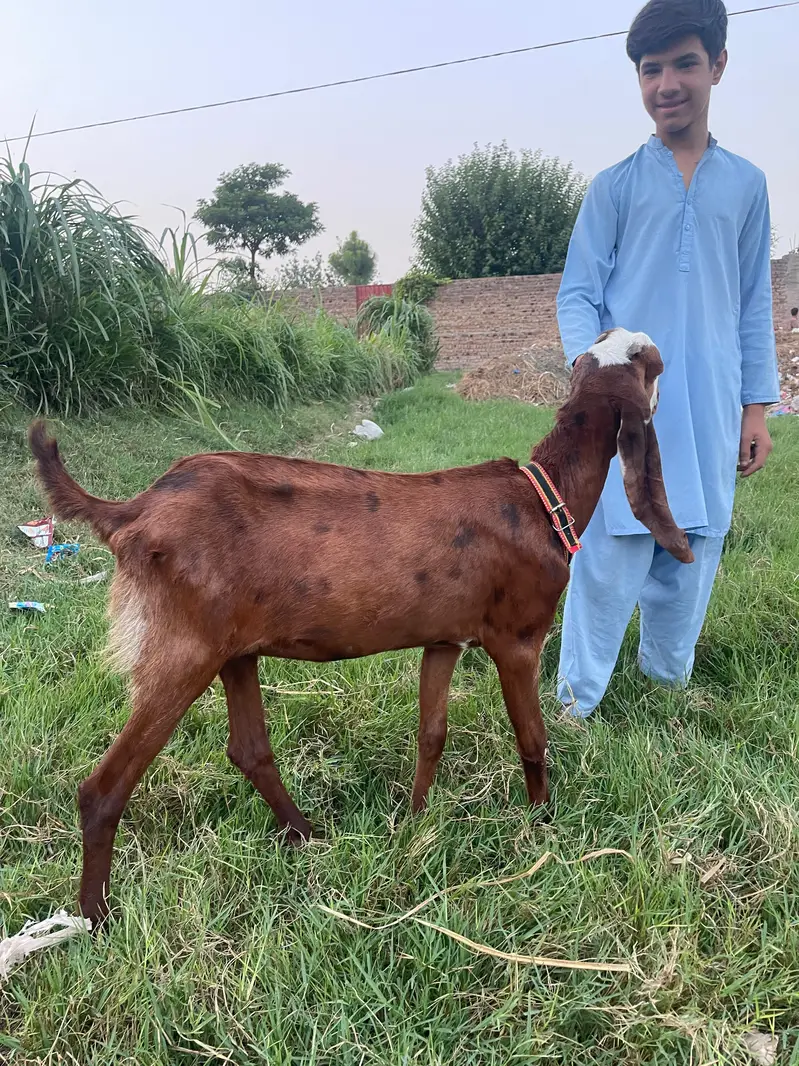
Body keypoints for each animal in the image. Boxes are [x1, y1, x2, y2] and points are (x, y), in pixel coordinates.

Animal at [29, 327, 693, 924]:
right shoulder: (517, 638)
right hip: (183, 648)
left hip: (232, 648)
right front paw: (542, 829)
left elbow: (431, 734)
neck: (541, 498)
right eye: (655, 364)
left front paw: (417, 820)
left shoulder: (443, 639)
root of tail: (135, 510)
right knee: (103, 788)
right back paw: (96, 917)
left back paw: (306, 834)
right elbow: (532, 739)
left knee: (250, 749)